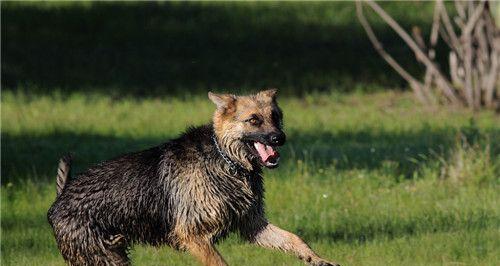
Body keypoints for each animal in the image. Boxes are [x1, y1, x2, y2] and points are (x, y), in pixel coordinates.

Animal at [47, 90, 340, 266]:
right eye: (254, 120)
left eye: (276, 117)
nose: (280, 138)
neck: (227, 161)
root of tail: (61, 197)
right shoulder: (193, 236)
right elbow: (221, 263)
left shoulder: (252, 225)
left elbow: (294, 238)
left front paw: (317, 259)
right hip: (103, 257)